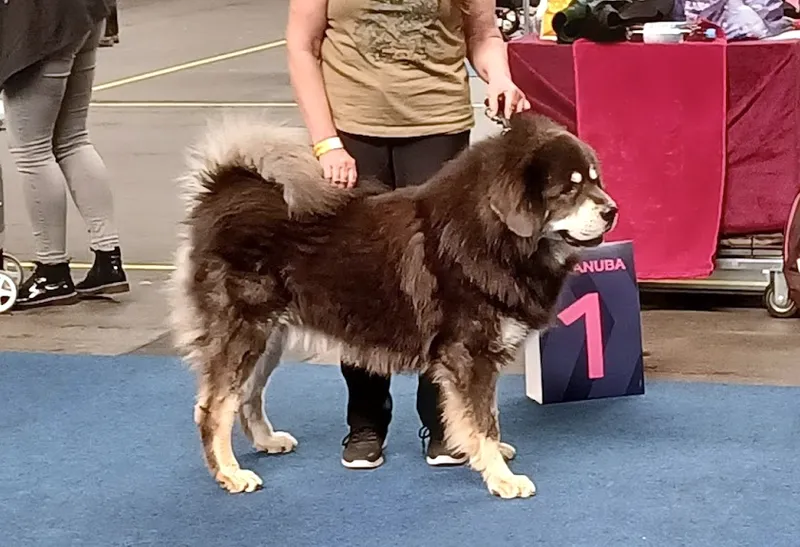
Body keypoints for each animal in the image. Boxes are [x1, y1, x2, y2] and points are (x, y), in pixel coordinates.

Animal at [169, 112, 617, 500]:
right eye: (569, 189)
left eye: (595, 180)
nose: (611, 210)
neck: (491, 236)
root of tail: (223, 189)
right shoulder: (469, 355)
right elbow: (483, 420)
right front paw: (501, 477)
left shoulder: (476, 359)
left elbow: (483, 415)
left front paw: (483, 454)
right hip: (245, 332)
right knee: (213, 409)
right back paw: (230, 474)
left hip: (270, 337)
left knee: (247, 396)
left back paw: (266, 441)